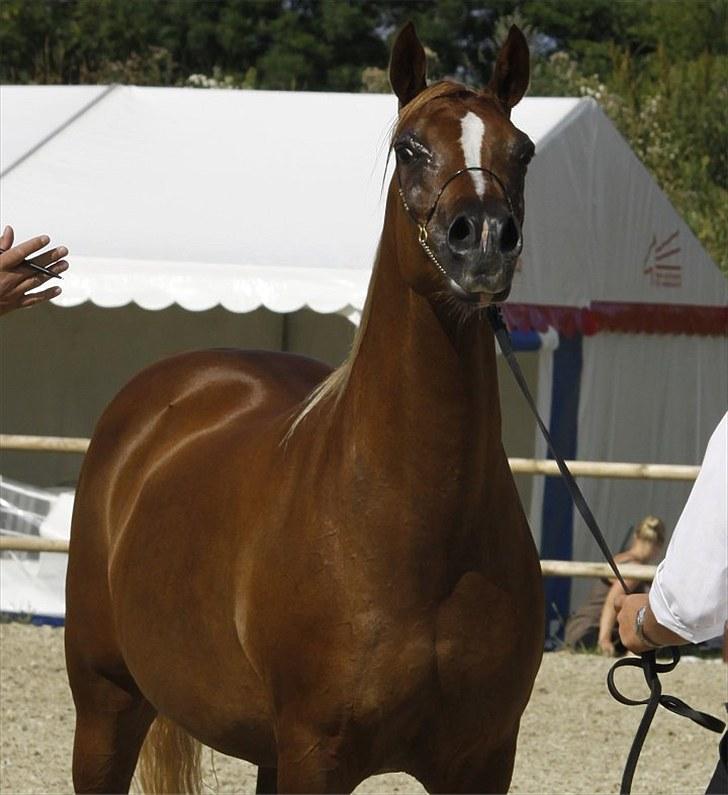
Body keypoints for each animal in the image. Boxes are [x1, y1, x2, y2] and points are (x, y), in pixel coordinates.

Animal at [67, 24, 540, 795]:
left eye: (521, 150)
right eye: (409, 146)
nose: (484, 240)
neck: (415, 527)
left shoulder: (482, 760)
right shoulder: (317, 753)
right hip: (106, 703)